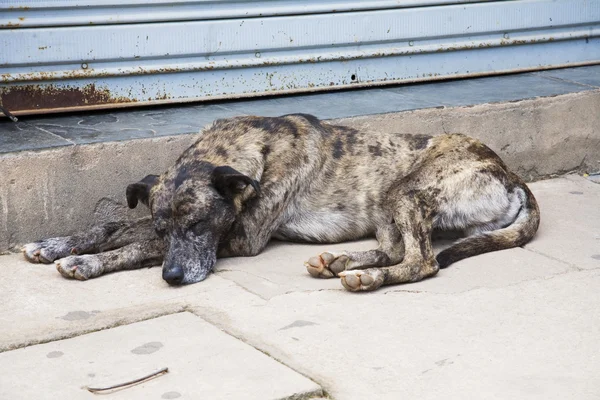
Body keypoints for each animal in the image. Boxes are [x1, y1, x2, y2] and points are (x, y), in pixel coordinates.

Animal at [22, 114, 540, 292]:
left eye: (199, 225)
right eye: (167, 228)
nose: (172, 278)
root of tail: (511, 175)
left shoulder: (240, 238)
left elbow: (132, 245)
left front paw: (86, 262)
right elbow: (115, 227)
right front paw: (56, 244)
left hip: (406, 191)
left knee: (421, 261)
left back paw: (366, 276)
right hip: (388, 207)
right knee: (398, 249)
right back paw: (341, 261)